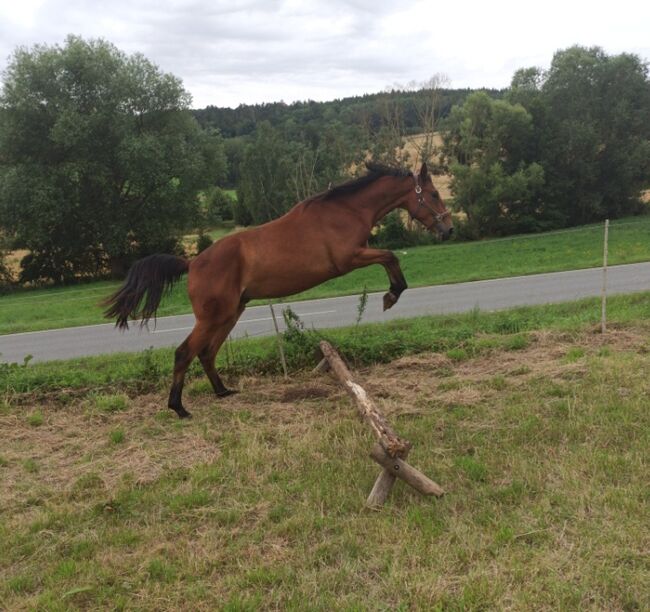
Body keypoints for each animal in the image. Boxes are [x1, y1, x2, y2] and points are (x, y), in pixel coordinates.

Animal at [105, 160, 450, 418]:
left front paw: (392, 294)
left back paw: (222, 391)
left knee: (206, 353)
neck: (345, 211)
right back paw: (178, 407)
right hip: (212, 317)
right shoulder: (350, 258)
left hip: (230, 314)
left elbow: (390, 257)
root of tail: (192, 263)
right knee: (184, 352)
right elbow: (390, 256)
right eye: (433, 194)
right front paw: (392, 294)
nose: (448, 228)